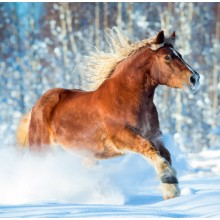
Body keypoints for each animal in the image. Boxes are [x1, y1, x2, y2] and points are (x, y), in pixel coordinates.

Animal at [16, 27, 200, 199]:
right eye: (167, 57)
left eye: (180, 55)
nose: (195, 78)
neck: (126, 97)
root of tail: (35, 107)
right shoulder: (121, 136)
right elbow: (148, 148)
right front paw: (168, 179)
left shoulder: (154, 135)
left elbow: (165, 154)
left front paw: (171, 190)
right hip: (42, 149)